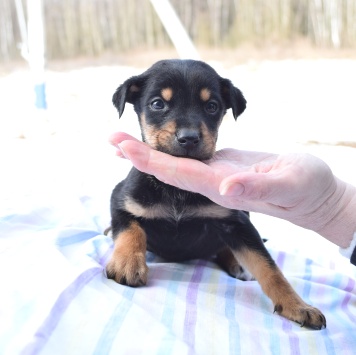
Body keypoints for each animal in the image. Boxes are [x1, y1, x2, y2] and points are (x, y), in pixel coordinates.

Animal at [105, 59, 326, 330]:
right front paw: (127, 263)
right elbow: (130, 229)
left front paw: (298, 306)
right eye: (157, 104)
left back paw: (237, 263)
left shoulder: (236, 222)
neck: (178, 190)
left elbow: (268, 266)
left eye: (212, 107)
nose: (189, 138)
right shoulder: (121, 199)